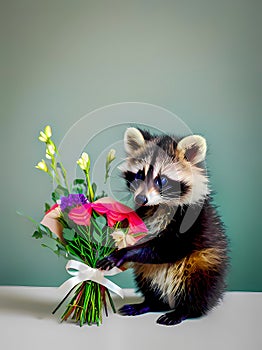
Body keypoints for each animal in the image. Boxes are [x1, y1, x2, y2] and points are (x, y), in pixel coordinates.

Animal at [97, 127, 228, 326]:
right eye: (140, 175)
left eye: (162, 180)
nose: (140, 198)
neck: (159, 206)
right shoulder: (144, 214)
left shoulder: (192, 223)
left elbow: (168, 248)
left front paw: (125, 252)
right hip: (147, 274)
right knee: (149, 284)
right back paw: (150, 303)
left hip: (204, 265)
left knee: (196, 288)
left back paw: (184, 310)